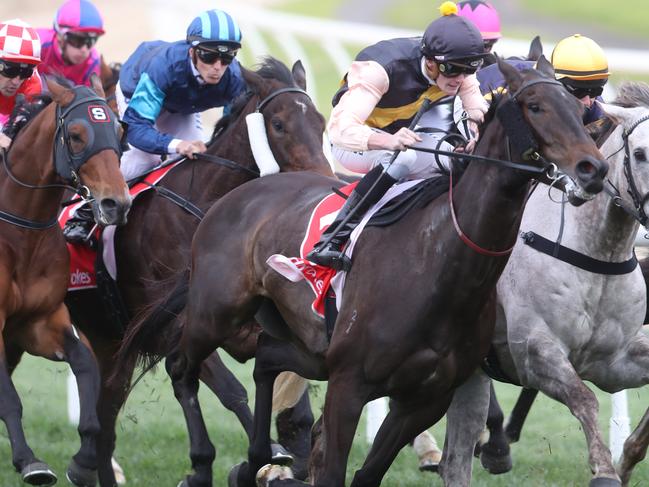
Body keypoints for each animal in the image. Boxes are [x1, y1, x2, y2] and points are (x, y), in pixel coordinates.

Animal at [0, 78, 130, 486]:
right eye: (75, 135)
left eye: (119, 132)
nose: (116, 204)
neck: (20, 233)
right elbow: (9, 398)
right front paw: (29, 461)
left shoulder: (39, 323)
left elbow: (86, 365)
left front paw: (84, 461)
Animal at [63, 58, 332, 487]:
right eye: (278, 124)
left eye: (321, 122)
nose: (326, 180)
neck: (203, 206)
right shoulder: (173, 325)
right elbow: (229, 388)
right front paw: (262, 458)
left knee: (107, 414)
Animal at [126, 55, 608, 486]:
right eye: (536, 106)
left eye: (576, 105)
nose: (594, 168)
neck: (438, 263)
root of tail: (237, 195)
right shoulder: (348, 385)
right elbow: (332, 468)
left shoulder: (423, 400)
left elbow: (367, 473)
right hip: (216, 312)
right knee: (182, 367)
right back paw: (202, 465)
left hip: (303, 341)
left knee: (265, 360)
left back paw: (258, 459)